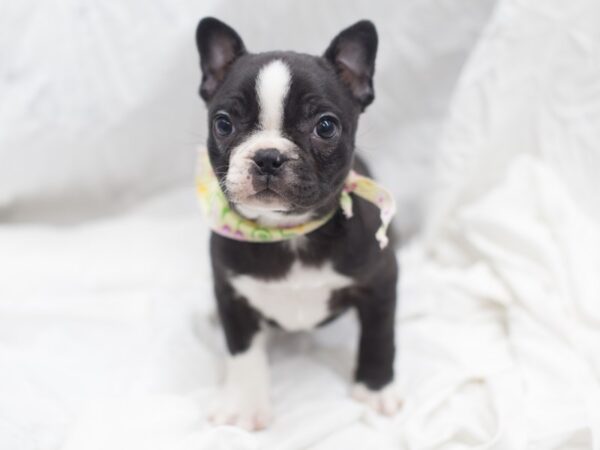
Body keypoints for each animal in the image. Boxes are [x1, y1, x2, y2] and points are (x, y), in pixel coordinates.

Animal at [196, 17, 398, 430]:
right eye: (223, 124)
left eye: (326, 127)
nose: (268, 157)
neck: (288, 233)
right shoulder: (233, 297)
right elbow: (243, 352)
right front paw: (245, 404)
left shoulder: (381, 281)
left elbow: (379, 335)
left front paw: (374, 389)